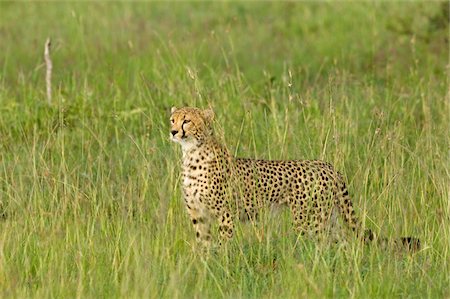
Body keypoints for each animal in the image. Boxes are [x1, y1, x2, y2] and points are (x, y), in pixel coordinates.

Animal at [171, 106, 420, 252]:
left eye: (187, 121)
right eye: (173, 119)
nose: (173, 131)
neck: (191, 153)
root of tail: (327, 165)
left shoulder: (225, 213)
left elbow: (222, 243)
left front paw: (221, 264)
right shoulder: (198, 214)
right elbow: (203, 243)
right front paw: (205, 267)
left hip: (308, 221)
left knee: (326, 244)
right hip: (326, 217)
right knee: (342, 241)